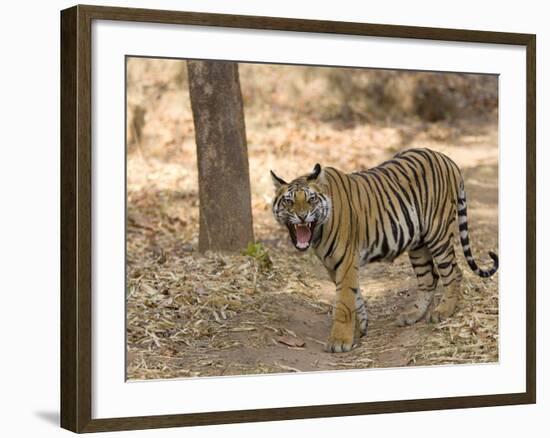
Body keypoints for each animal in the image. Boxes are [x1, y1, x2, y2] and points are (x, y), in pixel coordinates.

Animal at [272, 147, 500, 352]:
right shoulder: (333, 265)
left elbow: (344, 301)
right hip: (418, 244)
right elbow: (354, 296)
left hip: (438, 233)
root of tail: (446, 158)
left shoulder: (346, 261)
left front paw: (339, 341)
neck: (318, 231)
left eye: (311, 199)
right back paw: (412, 316)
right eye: (289, 201)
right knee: (429, 278)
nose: (302, 216)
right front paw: (360, 328)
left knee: (454, 272)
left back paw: (443, 311)